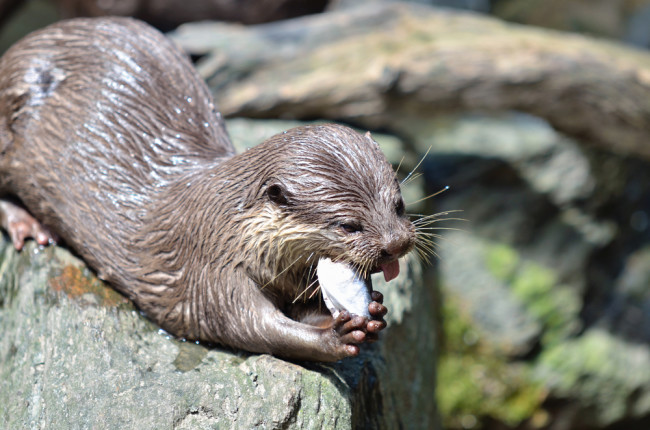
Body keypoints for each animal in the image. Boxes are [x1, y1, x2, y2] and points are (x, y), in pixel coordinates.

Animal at [0, 16, 412, 362]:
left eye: (399, 205)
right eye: (348, 225)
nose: (397, 244)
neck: (234, 228)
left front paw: (372, 308)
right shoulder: (212, 270)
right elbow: (251, 327)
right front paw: (334, 338)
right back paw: (28, 225)